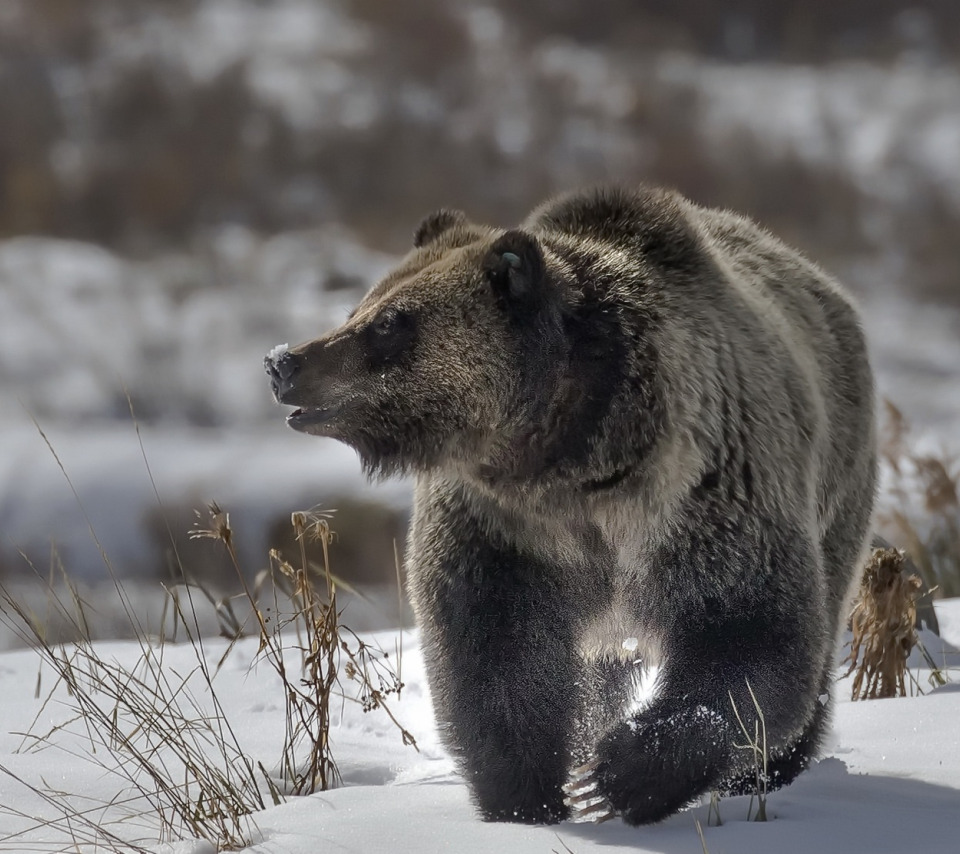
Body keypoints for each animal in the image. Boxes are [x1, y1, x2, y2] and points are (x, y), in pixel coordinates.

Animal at [264, 189, 876, 828]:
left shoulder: (707, 491)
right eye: (363, 305)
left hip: (837, 482)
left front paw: (617, 776)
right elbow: (496, 656)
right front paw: (528, 796)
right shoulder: (506, 529)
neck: (572, 458)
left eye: (388, 323)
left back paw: (771, 773)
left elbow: (748, 631)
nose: (285, 363)